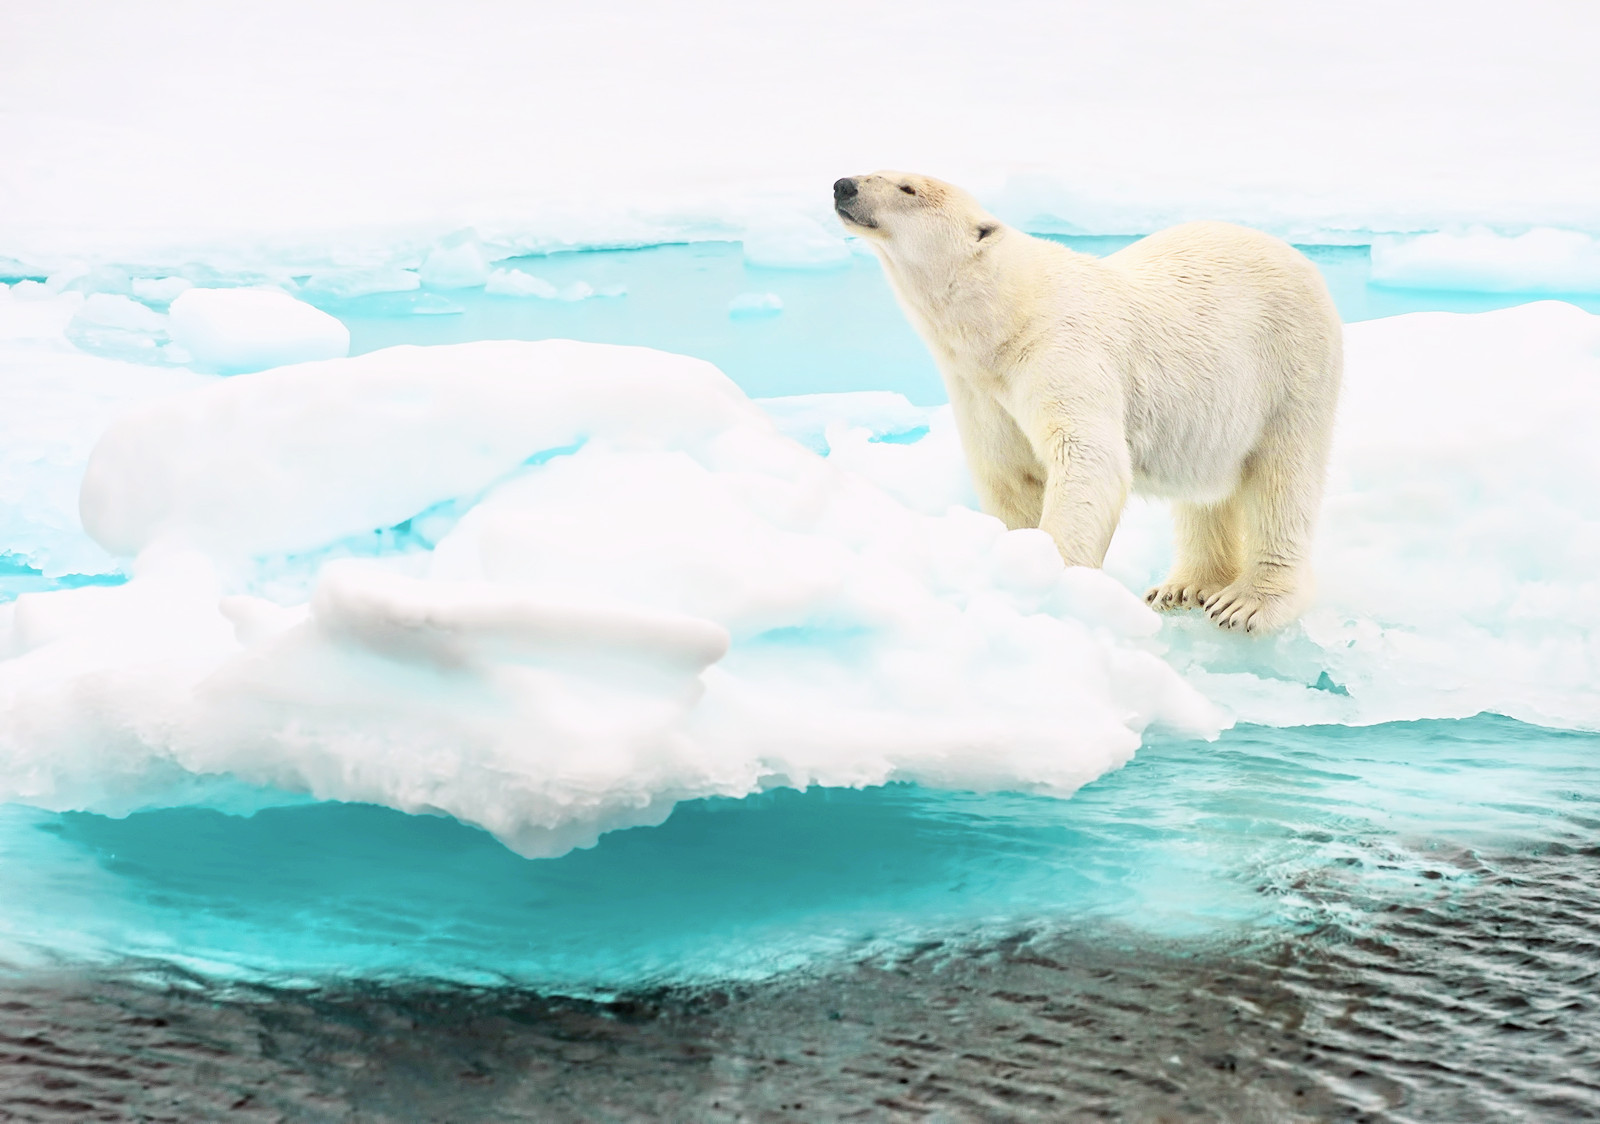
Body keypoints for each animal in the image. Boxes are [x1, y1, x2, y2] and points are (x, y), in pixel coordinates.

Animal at [834, 171, 1342, 634]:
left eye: (908, 188)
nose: (843, 186)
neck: (1007, 318)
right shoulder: (980, 392)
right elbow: (1008, 476)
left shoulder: (1062, 352)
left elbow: (1088, 457)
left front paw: (1056, 586)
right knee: (1208, 490)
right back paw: (1184, 586)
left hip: (1291, 366)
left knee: (1283, 477)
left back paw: (1249, 601)